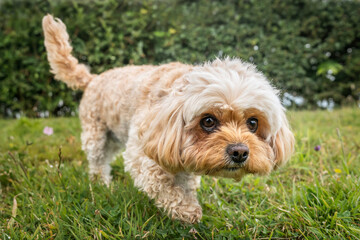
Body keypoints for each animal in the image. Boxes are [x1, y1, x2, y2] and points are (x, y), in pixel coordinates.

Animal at [43, 14, 296, 223]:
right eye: (208, 121)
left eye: (253, 123)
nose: (240, 152)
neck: (169, 100)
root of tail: (93, 78)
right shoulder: (144, 152)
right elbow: (164, 186)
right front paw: (188, 210)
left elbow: (184, 181)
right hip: (95, 134)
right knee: (97, 162)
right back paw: (102, 184)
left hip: (114, 135)